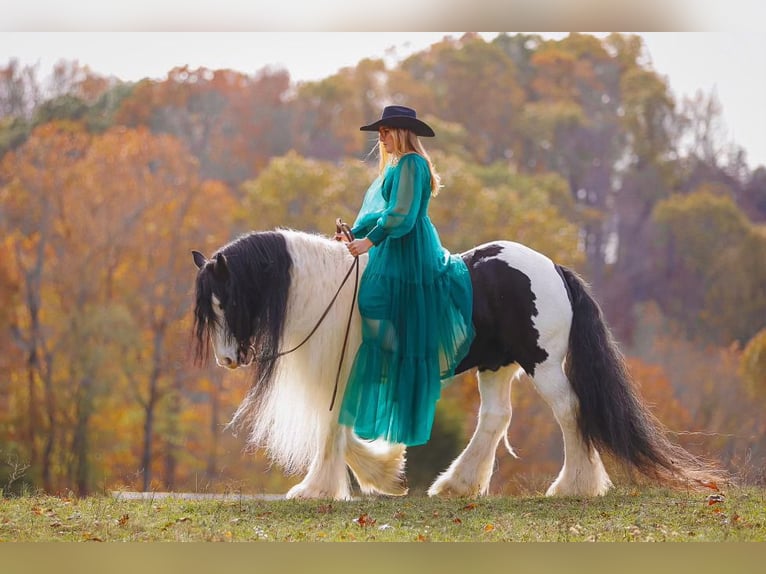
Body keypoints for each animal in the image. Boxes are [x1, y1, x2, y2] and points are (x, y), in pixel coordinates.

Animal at [192, 230, 720, 500]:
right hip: (496, 366)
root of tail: (553, 268)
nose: (228, 359)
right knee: (496, 419)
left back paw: (573, 487)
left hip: (543, 364)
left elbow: (332, 429)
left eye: (225, 300)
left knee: (570, 412)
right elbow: (341, 430)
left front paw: (318, 490)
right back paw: (458, 484)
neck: (327, 292)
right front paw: (386, 473)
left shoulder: (339, 376)